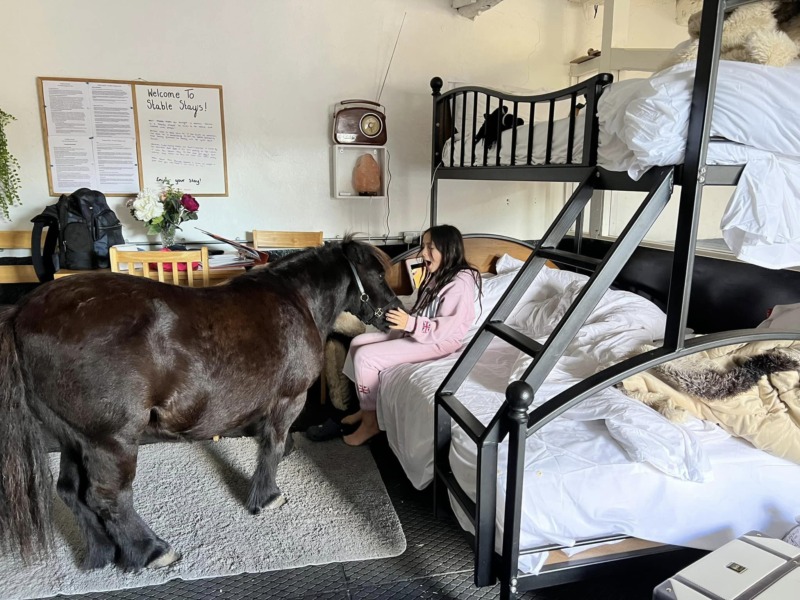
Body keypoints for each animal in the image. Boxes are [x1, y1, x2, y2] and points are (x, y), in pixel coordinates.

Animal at [0, 237, 400, 568]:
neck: (296, 300)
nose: (397, 316)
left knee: (71, 493)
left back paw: (102, 552)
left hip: (74, 437)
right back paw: (151, 550)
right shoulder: (289, 398)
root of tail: (21, 312)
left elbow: (270, 440)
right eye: (378, 274)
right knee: (107, 498)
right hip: (109, 440)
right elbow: (271, 444)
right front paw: (267, 495)